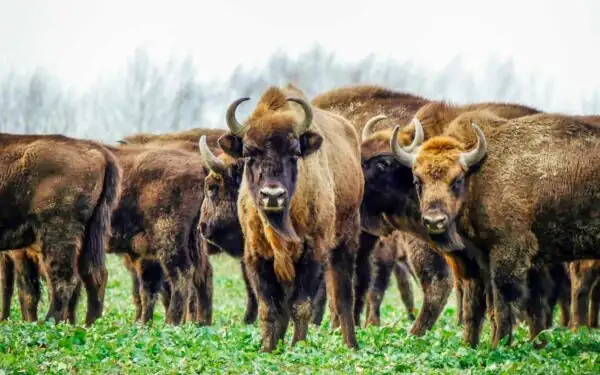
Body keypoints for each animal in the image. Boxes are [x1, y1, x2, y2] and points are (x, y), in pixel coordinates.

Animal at [0, 134, 120, 324]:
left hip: (57, 234)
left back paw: (48, 323)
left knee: (64, 280)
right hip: (90, 235)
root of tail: (99, 152)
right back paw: (89, 325)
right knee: (94, 275)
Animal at [217, 85, 364, 352]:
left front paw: (298, 347)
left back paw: (351, 345)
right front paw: (267, 348)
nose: (272, 195)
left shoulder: (313, 252)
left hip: (346, 241)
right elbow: (269, 308)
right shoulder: (256, 255)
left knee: (344, 296)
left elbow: (301, 305)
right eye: (248, 153)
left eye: (295, 153)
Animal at [386, 110, 600, 348]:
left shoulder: (508, 252)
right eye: (417, 181)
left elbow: (503, 301)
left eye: (457, 180)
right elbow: (484, 305)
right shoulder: (485, 260)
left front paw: (499, 344)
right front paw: (473, 345)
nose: (435, 221)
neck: (479, 174)